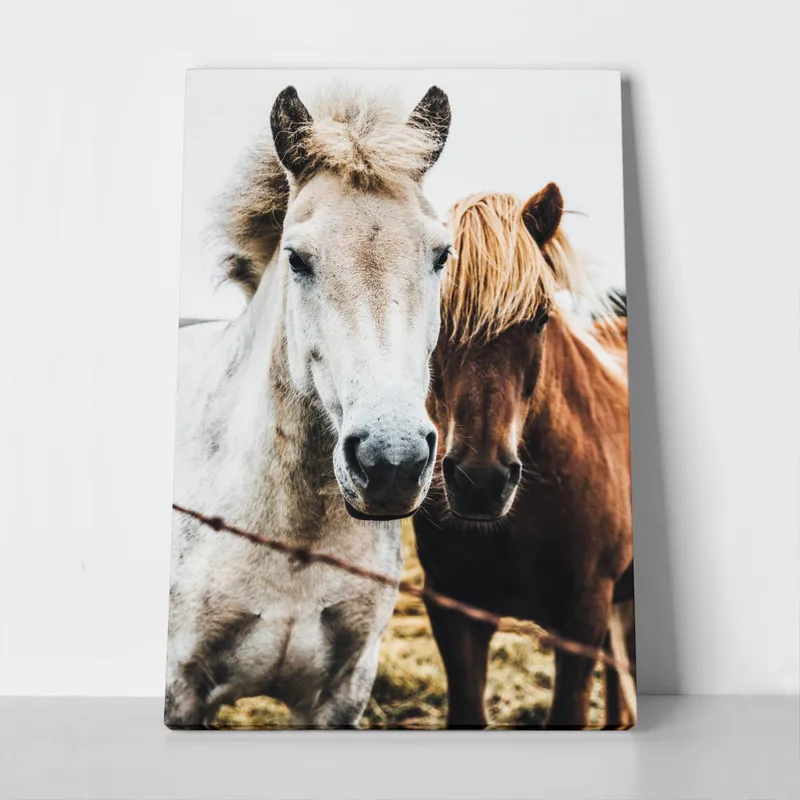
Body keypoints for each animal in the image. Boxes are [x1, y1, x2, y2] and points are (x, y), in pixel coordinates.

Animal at [165, 85, 453, 728]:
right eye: (297, 258)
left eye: (442, 254)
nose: (391, 462)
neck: (294, 544)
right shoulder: (181, 691)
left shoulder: (341, 695)